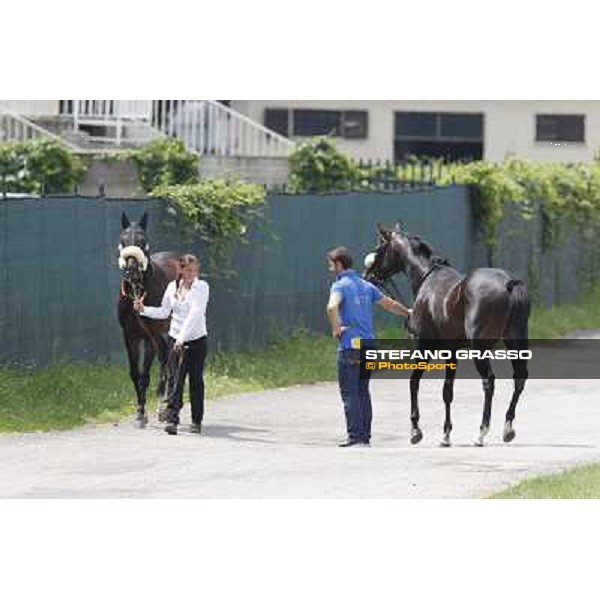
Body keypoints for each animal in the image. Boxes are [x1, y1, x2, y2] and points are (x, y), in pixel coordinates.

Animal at [117, 212, 180, 426]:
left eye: (143, 241)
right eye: (123, 240)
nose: (132, 272)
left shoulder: (153, 335)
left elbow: (149, 372)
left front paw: (151, 410)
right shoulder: (130, 336)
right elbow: (136, 373)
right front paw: (140, 411)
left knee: (168, 362)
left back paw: (165, 403)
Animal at [366, 223, 528, 448]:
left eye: (379, 248)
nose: (369, 276)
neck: (428, 278)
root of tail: (508, 283)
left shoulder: (424, 347)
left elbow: (414, 382)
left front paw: (416, 430)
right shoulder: (451, 351)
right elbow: (448, 391)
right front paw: (446, 434)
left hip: (480, 348)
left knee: (489, 382)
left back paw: (481, 433)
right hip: (514, 341)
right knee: (519, 378)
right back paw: (508, 427)